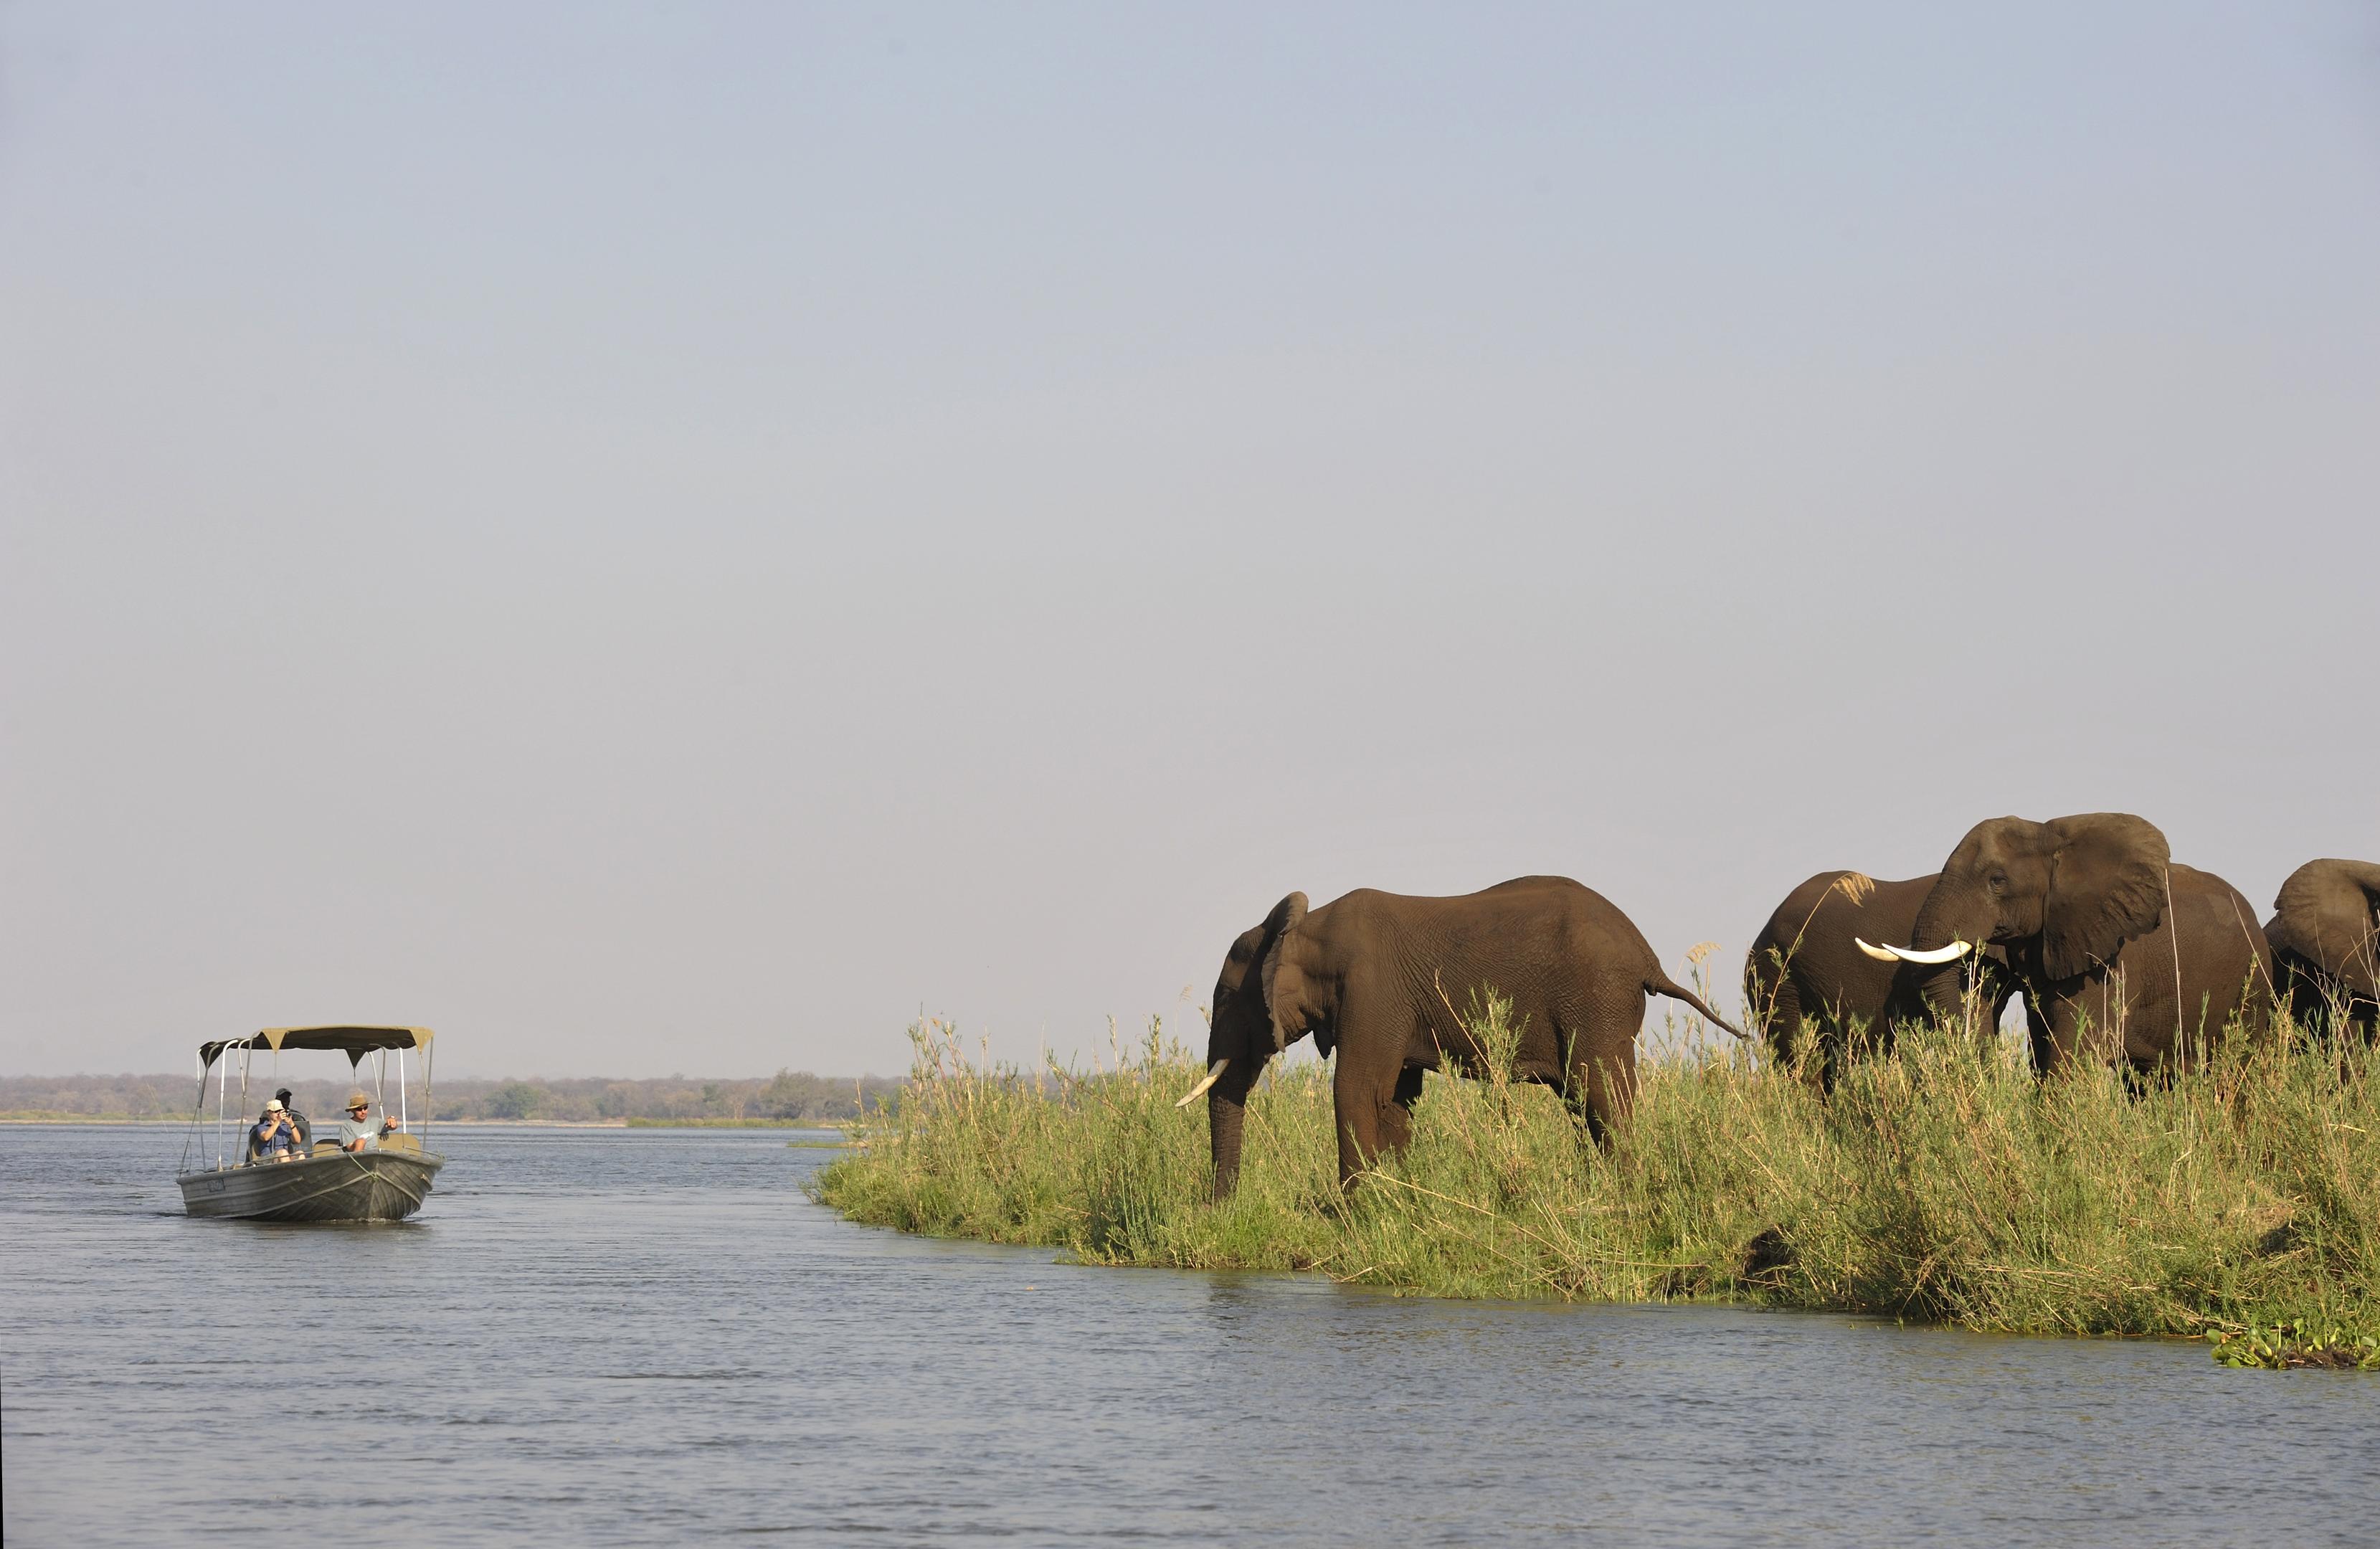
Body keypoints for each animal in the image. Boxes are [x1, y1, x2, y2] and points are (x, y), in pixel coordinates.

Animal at [1184, 877, 1743, 1198]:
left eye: (1228, 998)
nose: (1222, 1207)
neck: (1303, 927)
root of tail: (1648, 956)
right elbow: (1395, 1099)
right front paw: (1394, 1202)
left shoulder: (1373, 992)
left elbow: (1357, 1090)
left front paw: (1352, 1213)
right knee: (1583, 1102)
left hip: (1596, 1002)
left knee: (1603, 1096)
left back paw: (1622, 1195)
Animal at [1858, 813, 2272, 1074]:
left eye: (1997, 881)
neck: (2051, 839)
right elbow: (2043, 1047)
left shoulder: (2112, 956)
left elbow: (2071, 1050)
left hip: (2253, 986)